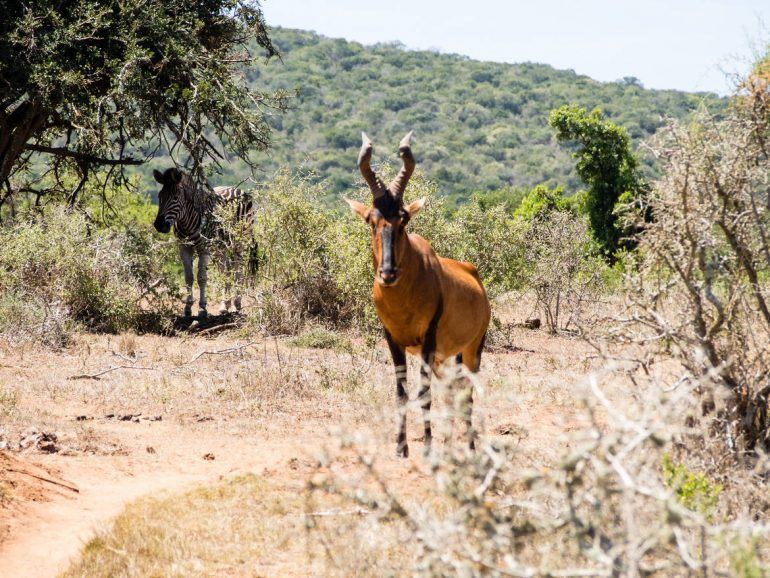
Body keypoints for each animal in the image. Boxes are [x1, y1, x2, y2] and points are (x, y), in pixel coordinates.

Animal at [152, 166, 256, 318]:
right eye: (160, 197)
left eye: (175, 198)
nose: (159, 225)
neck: (187, 222)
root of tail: (236, 189)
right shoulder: (183, 247)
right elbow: (188, 277)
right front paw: (188, 307)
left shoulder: (204, 248)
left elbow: (201, 277)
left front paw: (202, 308)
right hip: (221, 247)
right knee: (226, 271)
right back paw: (225, 305)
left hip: (241, 240)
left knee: (238, 270)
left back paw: (237, 303)